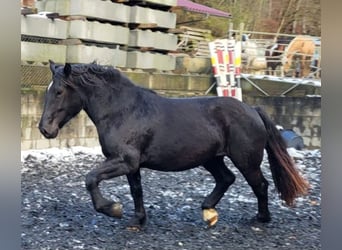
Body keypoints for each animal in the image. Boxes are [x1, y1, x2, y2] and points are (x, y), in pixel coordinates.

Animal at [38, 60, 308, 230]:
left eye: (59, 91)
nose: (45, 129)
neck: (123, 111)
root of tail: (253, 109)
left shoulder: (124, 161)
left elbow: (91, 178)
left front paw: (112, 208)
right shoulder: (132, 165)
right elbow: (136, 191)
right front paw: (137, 220)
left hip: (245, 160)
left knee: (260, 185)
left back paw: (260, 218)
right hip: (211, 158)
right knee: (226, 179)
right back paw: (208, 212)